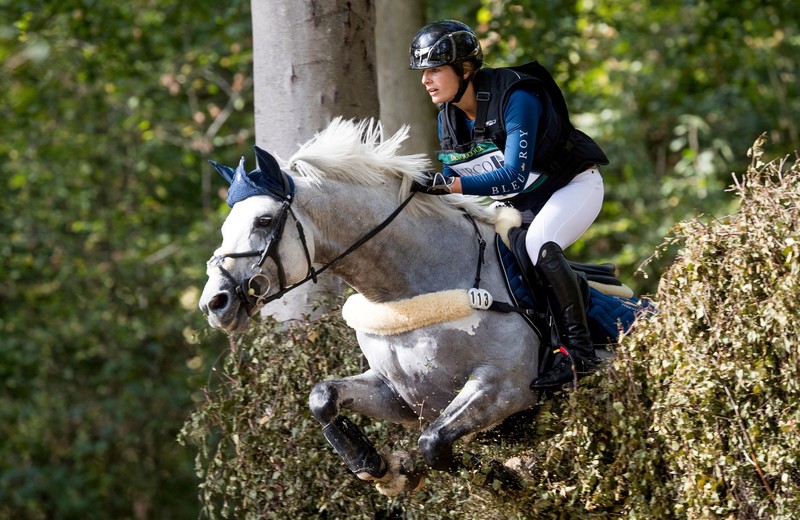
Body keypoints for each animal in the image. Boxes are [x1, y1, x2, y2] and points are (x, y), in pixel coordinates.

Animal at [198, 118, 636, 496]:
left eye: (263, 220)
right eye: (224, 228)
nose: (215, 304)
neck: (407, 291)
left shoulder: (506, 386)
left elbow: (435, 442)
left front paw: (498, 479)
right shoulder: (401, 395)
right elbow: (323, 396)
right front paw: (382, 468)